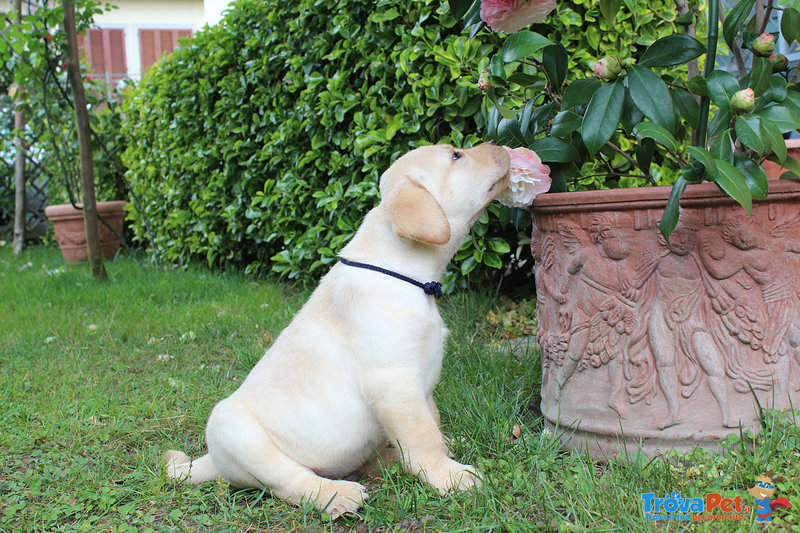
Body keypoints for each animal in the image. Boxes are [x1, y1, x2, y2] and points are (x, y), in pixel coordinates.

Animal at [165, 143, 510, 516]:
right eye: (456, 156)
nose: (500, 146)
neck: (405, 276)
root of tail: (210, 461)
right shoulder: (394, 383)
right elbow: (423, 436)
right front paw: (448, 474)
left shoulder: (423, 382)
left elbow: (431, 423)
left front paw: (445, 451)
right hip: (234, 430)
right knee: (291, 482)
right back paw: (337, 495)